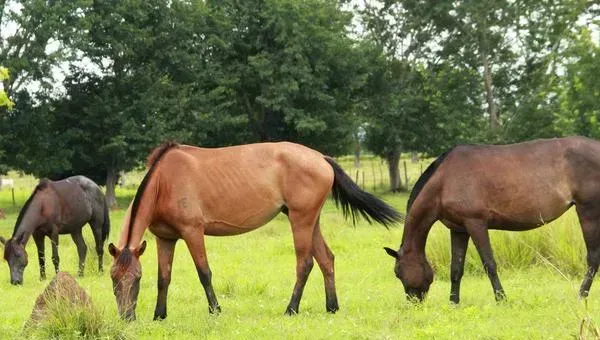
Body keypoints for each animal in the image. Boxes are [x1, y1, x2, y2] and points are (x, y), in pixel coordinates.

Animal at [108, 141, 400, 322]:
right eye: (113, 279)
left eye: (136, 279)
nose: (126, 317)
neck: (164, 181)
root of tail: (321, 158)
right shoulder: (165, 238)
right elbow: (164, 278)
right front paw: (159, 315)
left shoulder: (193, 232)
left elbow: (204, 273)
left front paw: (215, 310)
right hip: (311, 220)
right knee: (326, 259)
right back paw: (332, 307)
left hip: (301, 219)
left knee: (304, 263)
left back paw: (291, 309)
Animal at [384, 136, 600, 302]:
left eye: (397, 272)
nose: (414, 302)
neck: (443, 182)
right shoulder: (459, 230)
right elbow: (456, 268)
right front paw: (453, 302)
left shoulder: (476, 224)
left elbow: (489, 264)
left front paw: (501, 299)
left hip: (588, 211)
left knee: (593, 259)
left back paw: (581, 296)